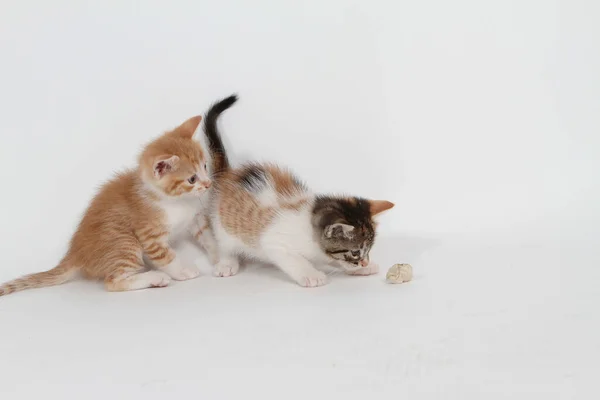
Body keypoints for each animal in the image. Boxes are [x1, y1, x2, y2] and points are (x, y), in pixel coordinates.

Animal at [0, 114, 214, 296]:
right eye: (192, 179)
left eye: (205, 166)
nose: (208, 184)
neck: (176, 200)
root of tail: (74, 253)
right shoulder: (149, 235)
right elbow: (166, 257)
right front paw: (182, 271)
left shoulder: (194, 219)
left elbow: (207, 235)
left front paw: (218, 257)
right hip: (124, 243)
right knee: (112, 282)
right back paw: (154, 278)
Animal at [199, 95, 394, 286]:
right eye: (355, 252)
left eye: (368, 249)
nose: (365, 262)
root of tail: (229, 174)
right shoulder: (275, 243)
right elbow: (296, 260)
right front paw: (312, 275)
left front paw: (361, 269)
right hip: (222, 224)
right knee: (225, 245)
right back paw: (227, 264)